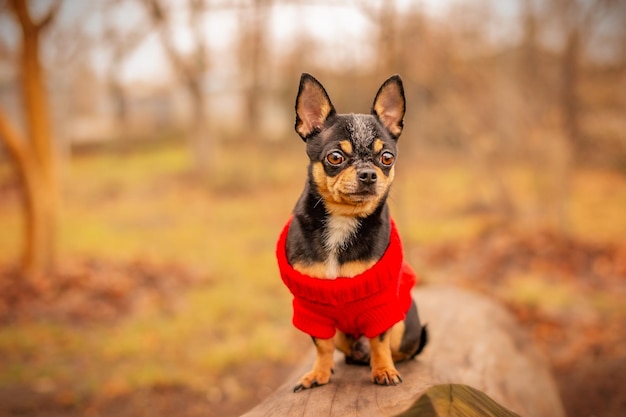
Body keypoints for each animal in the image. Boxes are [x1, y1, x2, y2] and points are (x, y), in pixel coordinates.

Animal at [276, 74, 426, 390]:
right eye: (335, 157)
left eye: (386, 158)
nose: (368, 173)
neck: (343, 219)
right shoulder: (312, 309)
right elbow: (322, 345)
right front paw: (319, 374)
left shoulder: (381, 303)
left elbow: (380, 340)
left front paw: (384, 370)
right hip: (344, 335)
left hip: (404, 323)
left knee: (394, 345)